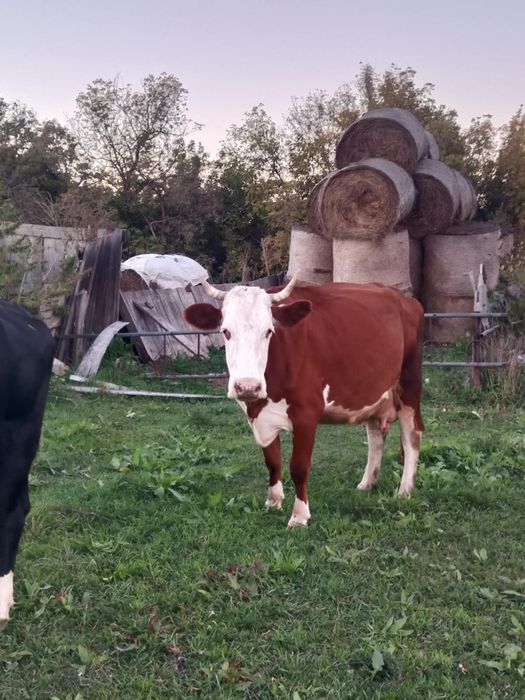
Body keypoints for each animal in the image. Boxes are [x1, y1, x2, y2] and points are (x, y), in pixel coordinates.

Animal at [184, 276, 424, 528]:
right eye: (226, 331)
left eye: (269, 331)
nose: (248, 386)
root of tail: (405, 299)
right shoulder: (261, 416)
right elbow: (273, 461)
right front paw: (273, 501)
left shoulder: (307, 414)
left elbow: (298, 467)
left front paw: (299, 516)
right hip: (372, 391)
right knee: (376, 435)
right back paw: (367, 483)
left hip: (409, 383)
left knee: (412, 435)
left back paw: (405, 490)